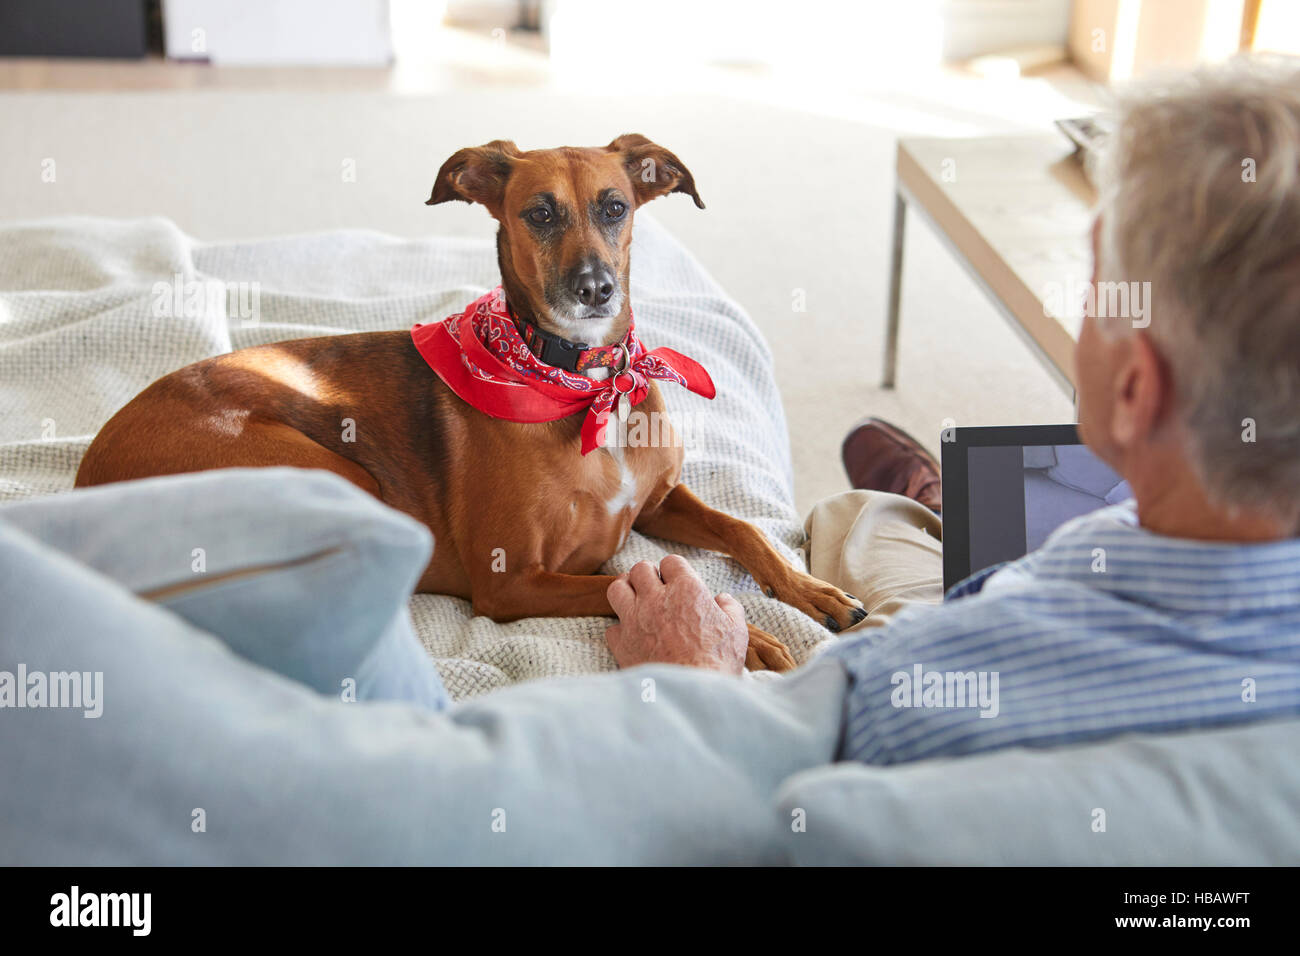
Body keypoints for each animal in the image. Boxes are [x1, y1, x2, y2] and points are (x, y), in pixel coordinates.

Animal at [76, 136, 868, 671]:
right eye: (539, 214)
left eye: (615, 207)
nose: (595, 289)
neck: (585, 384)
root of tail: (85, 478)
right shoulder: (512, 580)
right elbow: (619, 580)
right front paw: (744, 638)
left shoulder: (660, 501)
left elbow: (745, 531)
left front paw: (815, 593)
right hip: (335, 475)